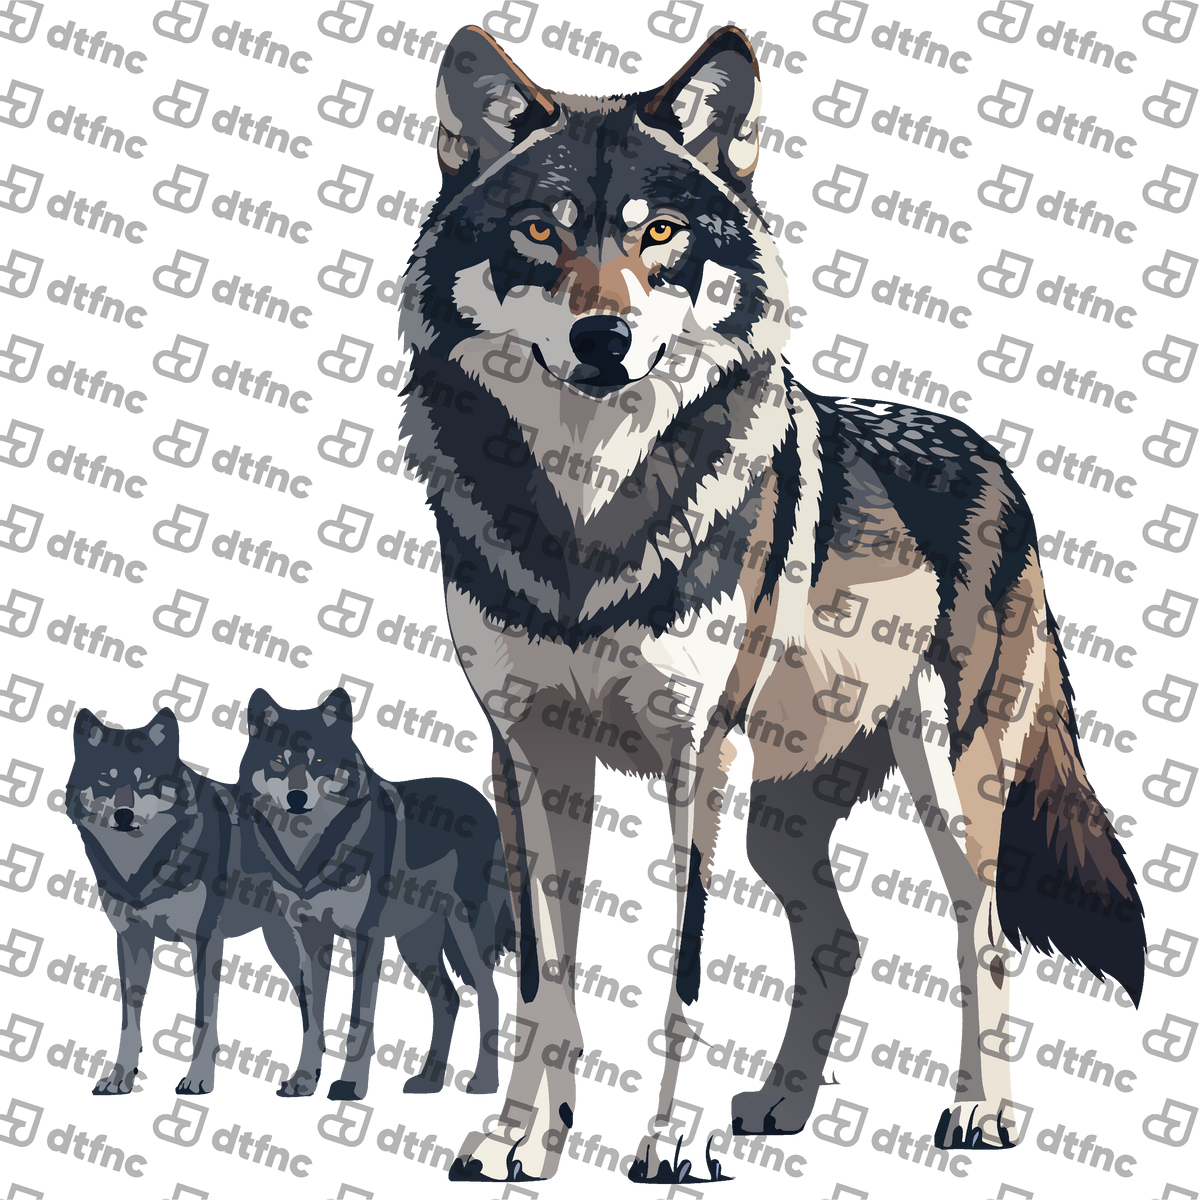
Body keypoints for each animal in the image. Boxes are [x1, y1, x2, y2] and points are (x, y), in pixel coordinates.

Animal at [394, 22, 1149, 1184]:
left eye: (658, 232)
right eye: (539, 229)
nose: (603, 340)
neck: (584, 507)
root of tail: (990, 454)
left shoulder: (693, 760)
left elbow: (679, 982)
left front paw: (658, 1152)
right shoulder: (527, 757)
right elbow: (545, 981)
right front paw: (524, 1139)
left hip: (948, 780)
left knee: (983, 936)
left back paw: (982, 1113)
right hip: (782, 822)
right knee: (840, 942)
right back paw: (786, 1106)